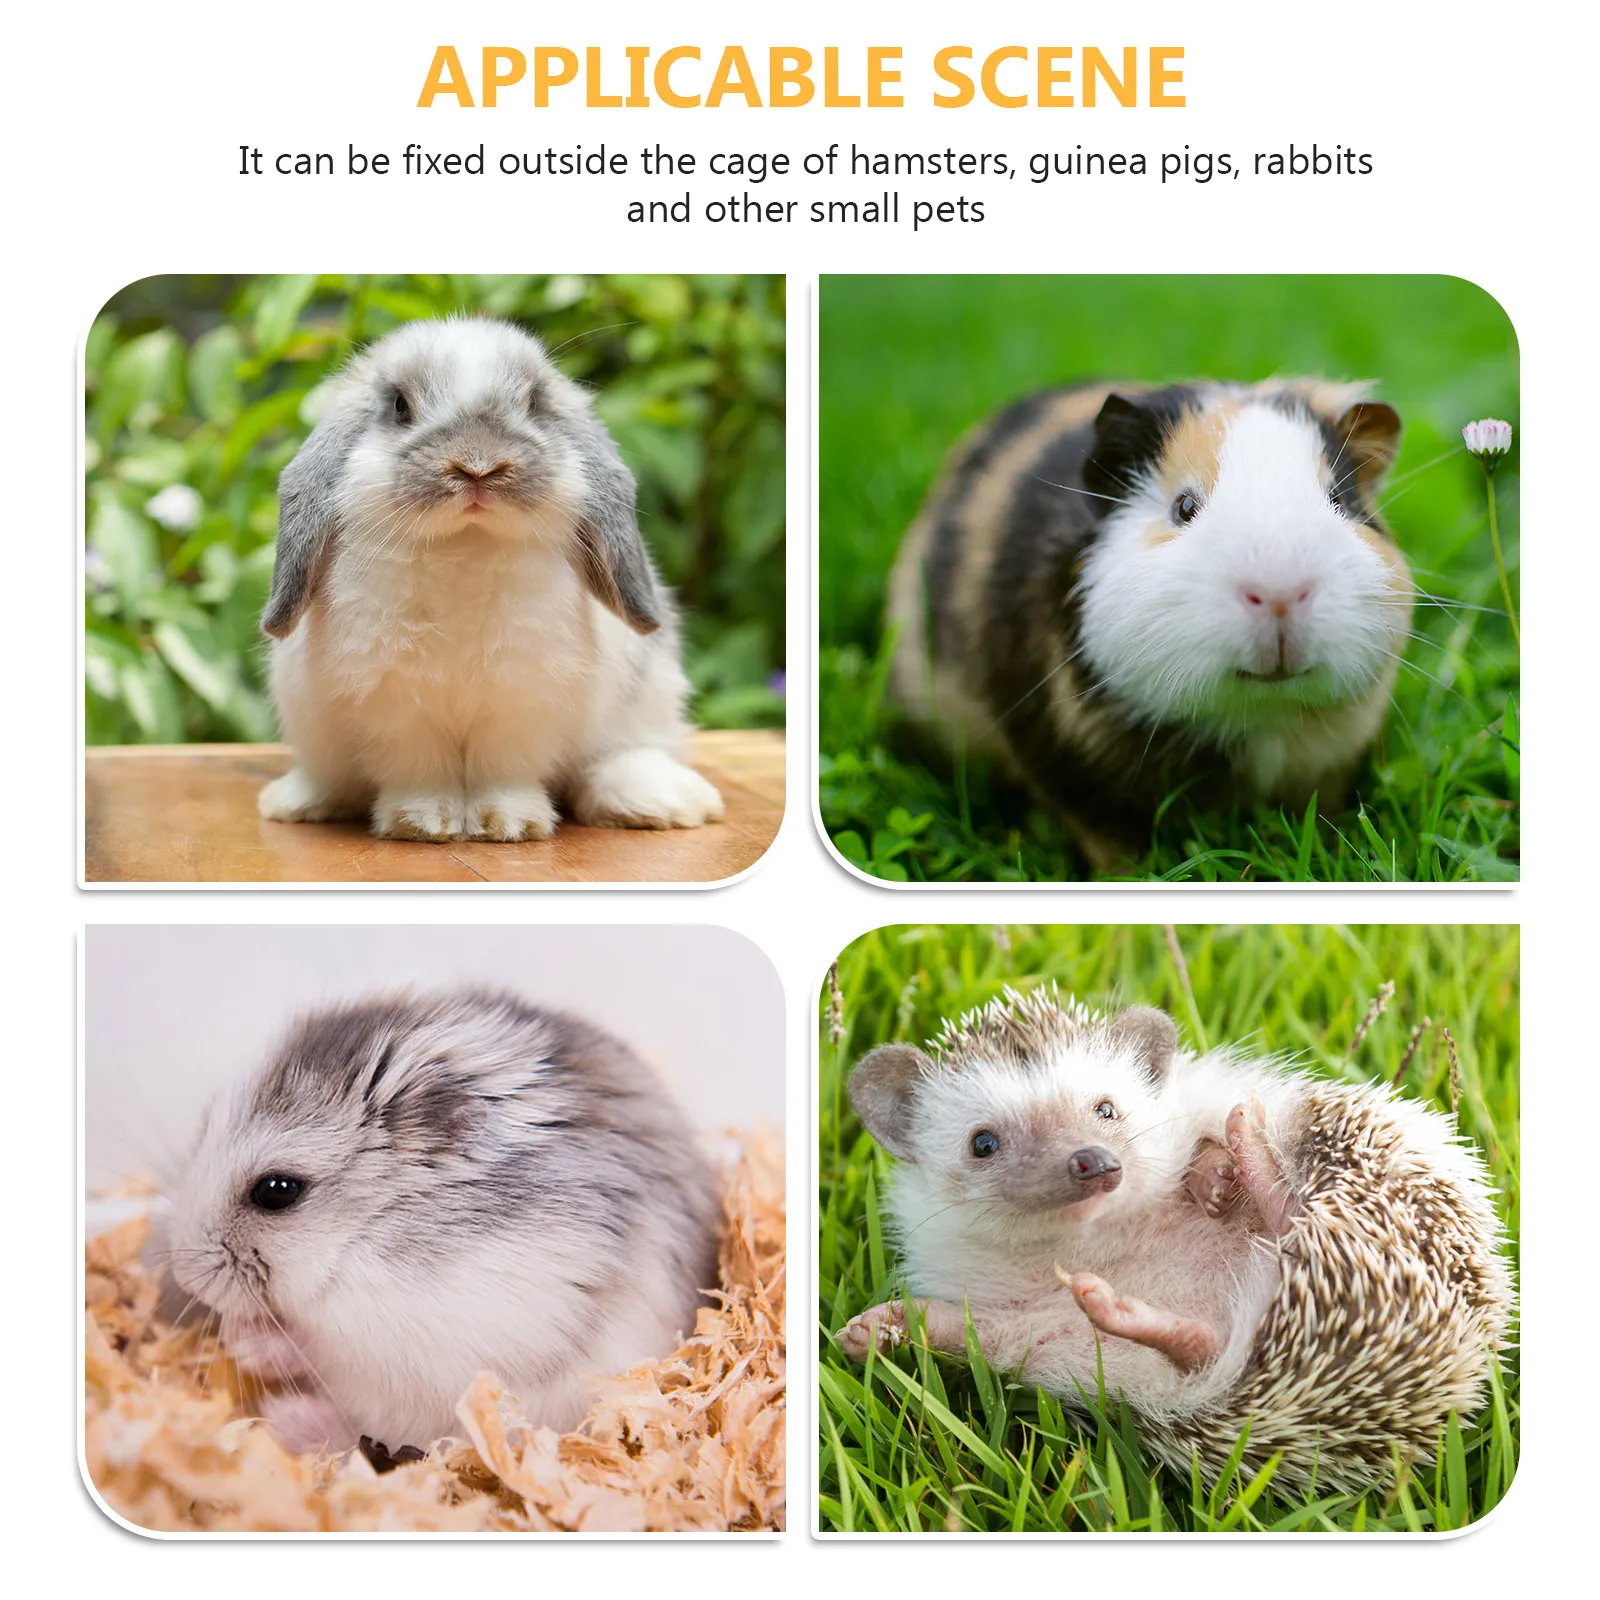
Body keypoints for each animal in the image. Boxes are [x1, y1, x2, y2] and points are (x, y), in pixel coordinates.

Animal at [167, 989, 720, 1455]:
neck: (364, 1233)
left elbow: (314, 1343)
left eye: (277, 1191)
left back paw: (289, 1418)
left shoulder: (422, 1332)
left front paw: (242, 1340)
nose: (183, 1279)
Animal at [258, 316, 724, 843]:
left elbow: (503, 768)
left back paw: (662, 802)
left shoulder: (522, 698)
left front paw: (508, 823)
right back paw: (298, 801)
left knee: (622, 757)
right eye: (400, 406)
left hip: (646, 699)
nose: (478, 465)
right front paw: (423, 822)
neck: (465, 546)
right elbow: (419, 768)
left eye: (535, 403)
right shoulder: (395, 704)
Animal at [887, 379, 1414, 869]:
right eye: (1183, 507)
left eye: (1339, 498)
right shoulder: (1076, 775)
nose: (1280, 592)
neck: (1259, 716)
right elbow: (1110, 839)